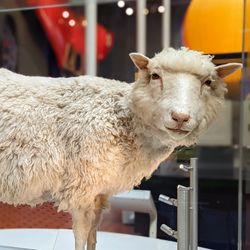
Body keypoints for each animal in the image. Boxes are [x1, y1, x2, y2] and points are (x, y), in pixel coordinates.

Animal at [0, 47, 242, 250]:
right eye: (155, 76)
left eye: (208, 82)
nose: (180, 117)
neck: (121, 118)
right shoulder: (82, 188)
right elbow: (81, 235)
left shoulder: (100, 192)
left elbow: (93, 235)